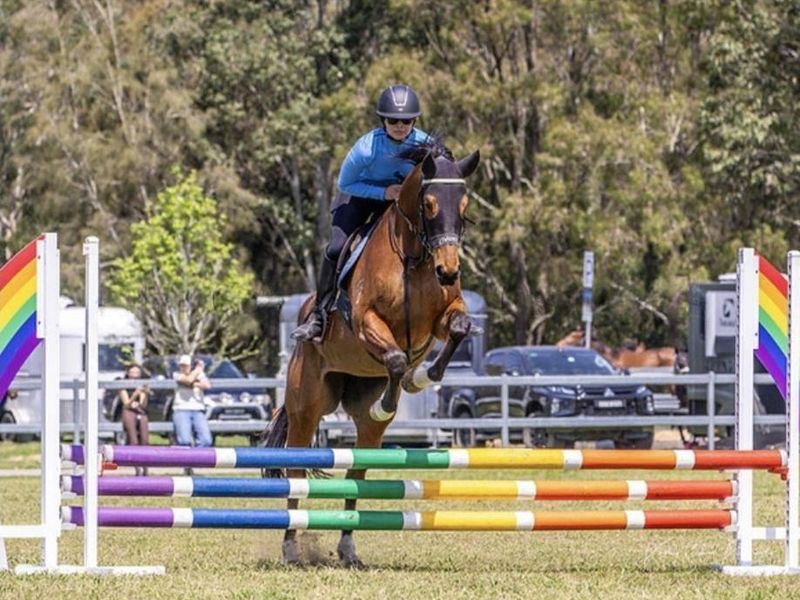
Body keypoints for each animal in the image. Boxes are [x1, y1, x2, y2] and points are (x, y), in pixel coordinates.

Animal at [264, 138, 480, 567]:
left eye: (464, 205)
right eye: (429, 203)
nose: (448, 270)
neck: (413, 256)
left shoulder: (440, 320)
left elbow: (458, 330)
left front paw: (423, 377)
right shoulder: (367, 322)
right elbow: (395, 358)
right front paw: (397, 394)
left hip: (362, 424)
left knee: (357, 474)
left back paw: (348, 549)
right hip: (306, 406)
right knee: (295, 468)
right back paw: (292, 547)